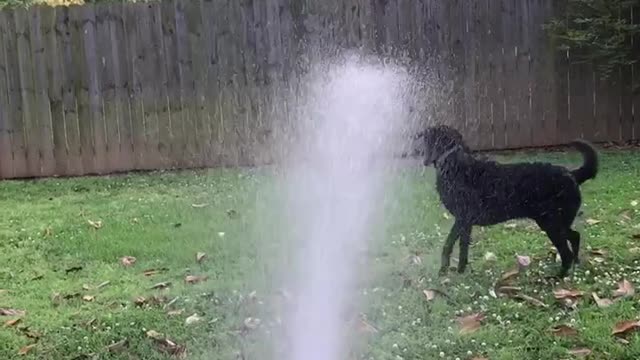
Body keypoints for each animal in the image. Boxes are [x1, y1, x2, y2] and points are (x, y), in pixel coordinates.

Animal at [416, 125, 600, 278]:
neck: (453, 160)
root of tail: (571, 174)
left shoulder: (462, 219)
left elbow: (449, 245)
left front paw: (445, 270)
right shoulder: (465, 223)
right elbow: (461, 248)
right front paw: (459, 270)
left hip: (552, 224)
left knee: (566, 253)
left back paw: (558, 277)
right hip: (555, 222)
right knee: (575, 236)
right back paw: (576, 263)